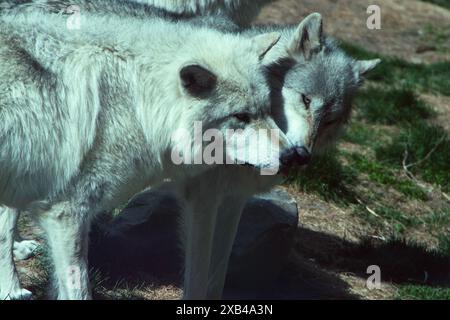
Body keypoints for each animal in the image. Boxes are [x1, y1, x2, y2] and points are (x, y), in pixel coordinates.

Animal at [0, 1, 298, 300]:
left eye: (267, 110)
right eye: (241, 116)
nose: (292, 156)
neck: (136, 100)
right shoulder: (65, 213)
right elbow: (79, 289)